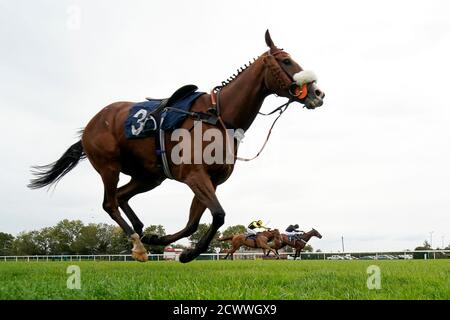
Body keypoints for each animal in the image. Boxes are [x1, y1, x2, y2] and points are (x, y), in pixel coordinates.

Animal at [27, 30, 324, 262]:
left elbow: (194, 222)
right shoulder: (195, 175)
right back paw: (137, 245)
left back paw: (140, 232)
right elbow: (218, 215)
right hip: (108, 166)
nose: (318, 93)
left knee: (122, 196)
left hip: (150, 176)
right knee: (109, 202)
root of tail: (91, 124)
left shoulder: (211, 180)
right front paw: (185, 252)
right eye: (286, 60)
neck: (218, 116)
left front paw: (166, 242)